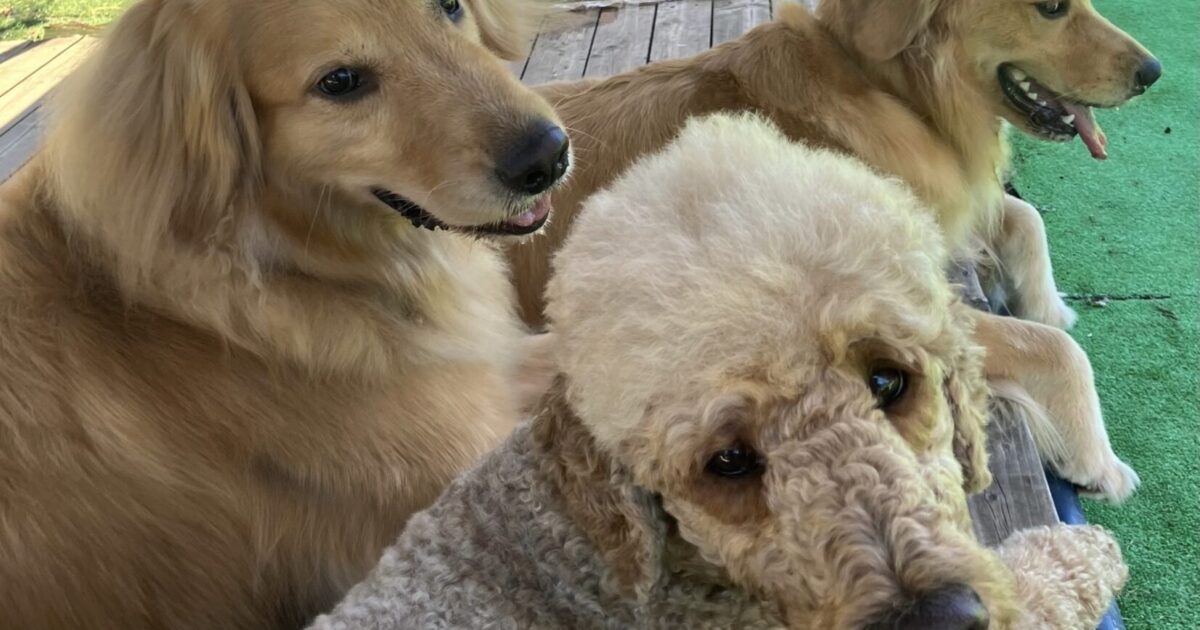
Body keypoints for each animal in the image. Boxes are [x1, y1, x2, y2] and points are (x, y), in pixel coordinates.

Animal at [507, 0, 1150, 501]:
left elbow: (1026, 220)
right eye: (1051, 7)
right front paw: (1099, 463)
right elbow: (1060, 352)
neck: (896, 94)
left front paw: (1048, 303)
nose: (1154, 71)